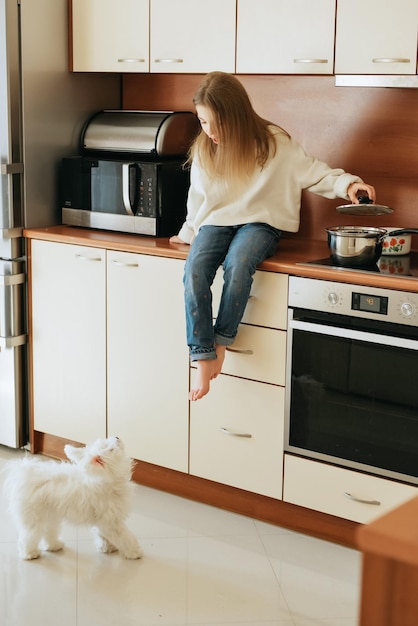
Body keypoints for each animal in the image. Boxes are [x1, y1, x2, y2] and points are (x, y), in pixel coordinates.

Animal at [2, 434, 144, 560]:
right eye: (111, 449)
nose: (117, 437)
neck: (105, 478)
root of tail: (22, 473)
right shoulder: (111, 522)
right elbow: (124, 537)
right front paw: (134, 552)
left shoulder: (104, 519)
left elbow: (103, 535)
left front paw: (107, 548)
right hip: (34, 516)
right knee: (29, 535)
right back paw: (30, 554)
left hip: (50, 515)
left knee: (48, 531)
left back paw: (54, 546)